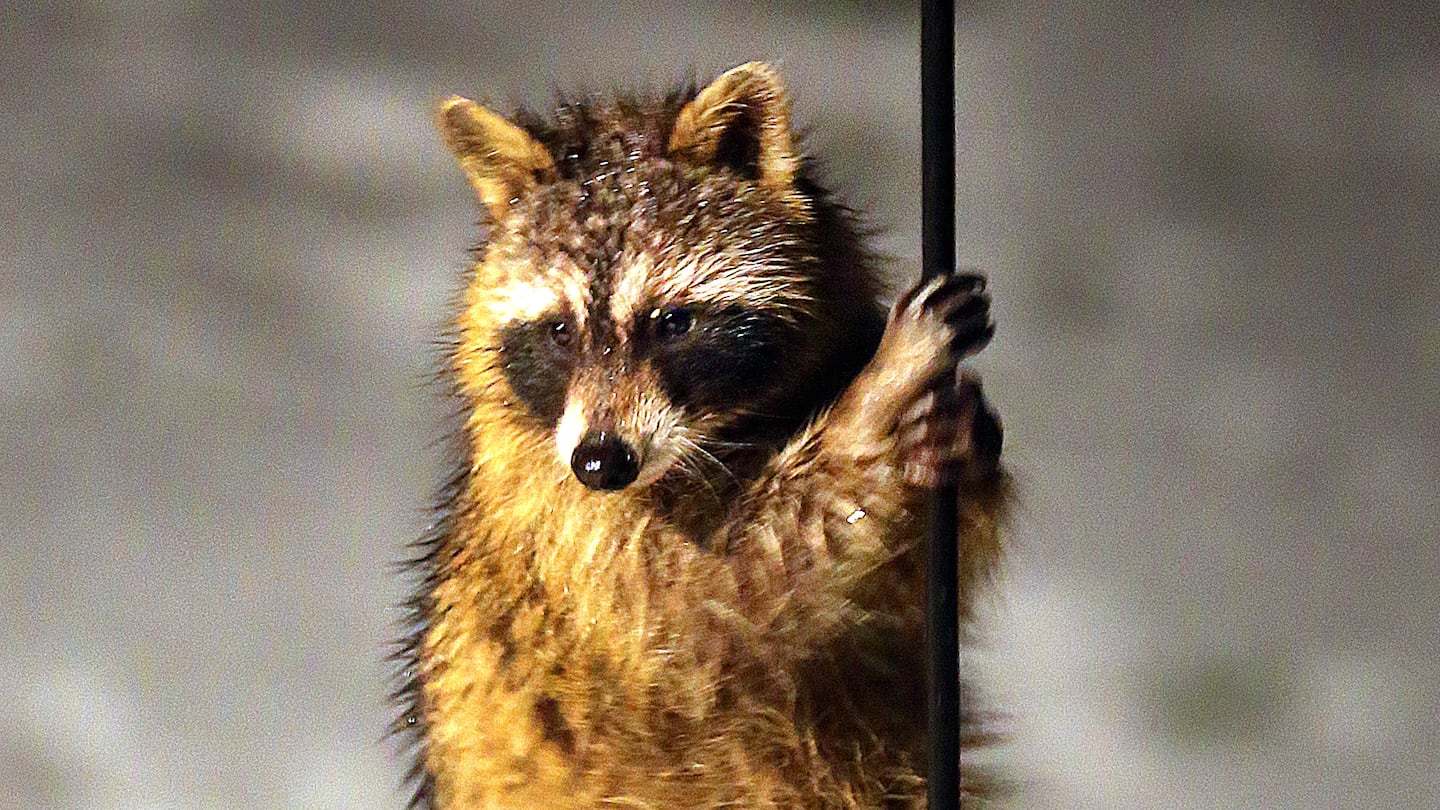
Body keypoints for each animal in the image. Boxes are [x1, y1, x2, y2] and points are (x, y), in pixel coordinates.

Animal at [388, 63, 1008, 807]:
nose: (602, 462)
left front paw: (962, 449)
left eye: (673, 323)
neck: (729, 431)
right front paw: (876, 405)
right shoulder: (558, 527)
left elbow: (899, 597)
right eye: (560, 330)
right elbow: (715, 603)